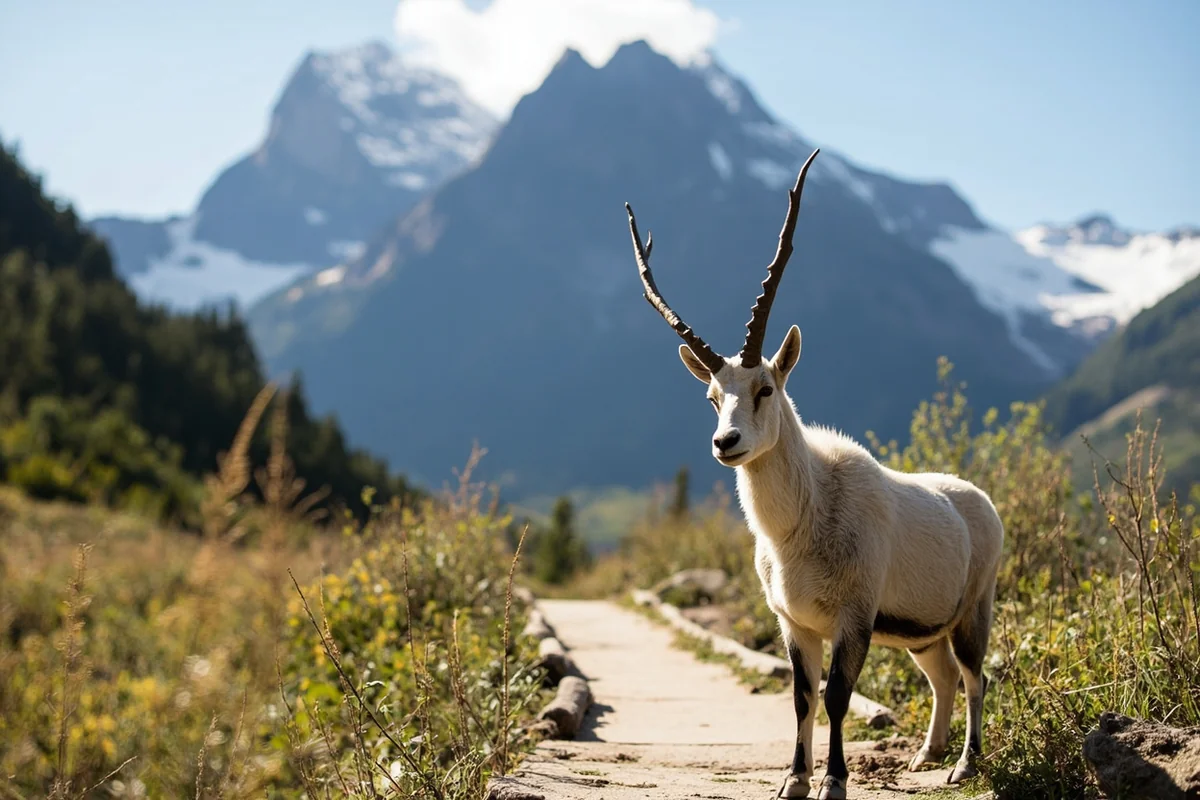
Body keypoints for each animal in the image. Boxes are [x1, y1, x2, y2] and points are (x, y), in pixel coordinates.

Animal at [623, 149, 1004, 800]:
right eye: (711, 395)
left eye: (765, 387)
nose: (726, 443)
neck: (804, 518)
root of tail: (981, 502)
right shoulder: (794, 623)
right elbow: (801, 697)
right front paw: (793, 781)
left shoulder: (854, 617)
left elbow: (837, 697)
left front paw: (833, 783)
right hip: (922, 631)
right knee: (942, 676)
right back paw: (925, 756)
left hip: (973, 608)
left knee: (976, 676)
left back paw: (963, 766)